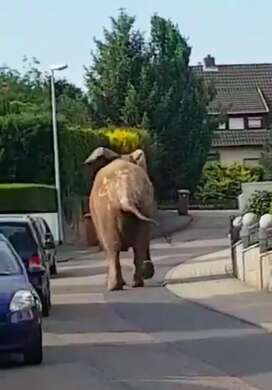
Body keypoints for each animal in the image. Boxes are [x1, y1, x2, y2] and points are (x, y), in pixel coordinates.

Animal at [84, 146, 158, 290]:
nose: (149, 271)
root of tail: (126, 194)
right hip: (145, 205)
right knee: (139, 246)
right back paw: (136, 283)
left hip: (106, 212)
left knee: (113, 248)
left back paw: (113, 287)